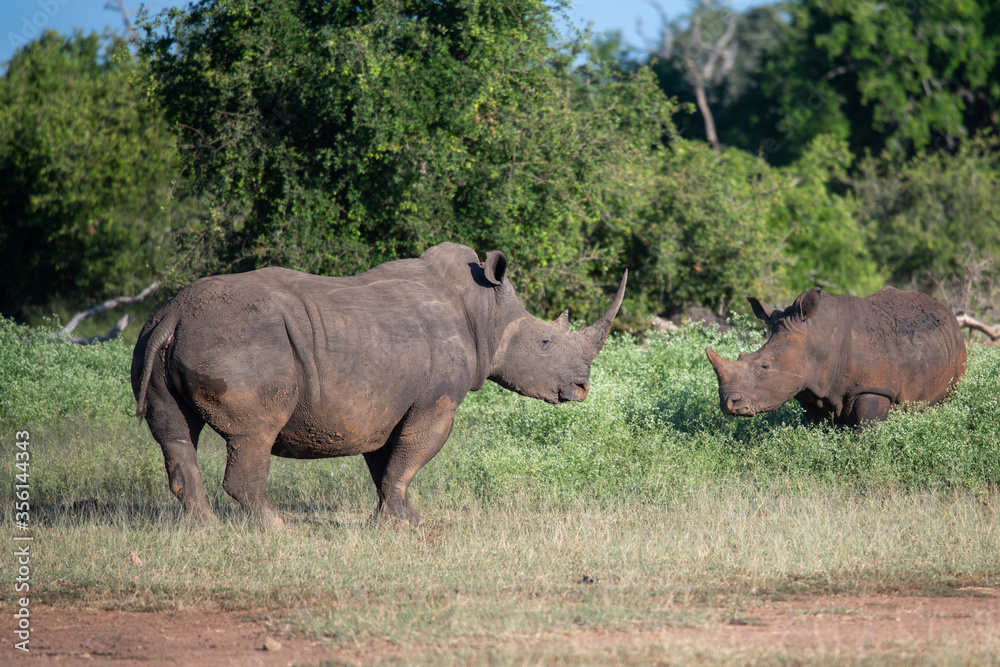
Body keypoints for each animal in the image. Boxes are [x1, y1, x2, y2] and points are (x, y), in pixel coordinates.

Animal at [132, 242, 626, 527]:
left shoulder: (382, 402)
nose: (582, 387)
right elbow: (409, 459)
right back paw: (277, 531)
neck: (487, 313)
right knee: (254, 435)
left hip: (161, 335)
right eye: (545, 342)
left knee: (175, 434)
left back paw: (205, 531)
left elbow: (386, 465)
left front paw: (397, 521)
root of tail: (174, 314)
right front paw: (406, 524)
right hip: (243, 343)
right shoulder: (435, 403)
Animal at [705, 287, 966, 428]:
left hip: (957, 351)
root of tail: (949, 314)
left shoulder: (874, 387)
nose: (728, 404)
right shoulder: (813, 392)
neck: (817, 341)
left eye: (765, 366)